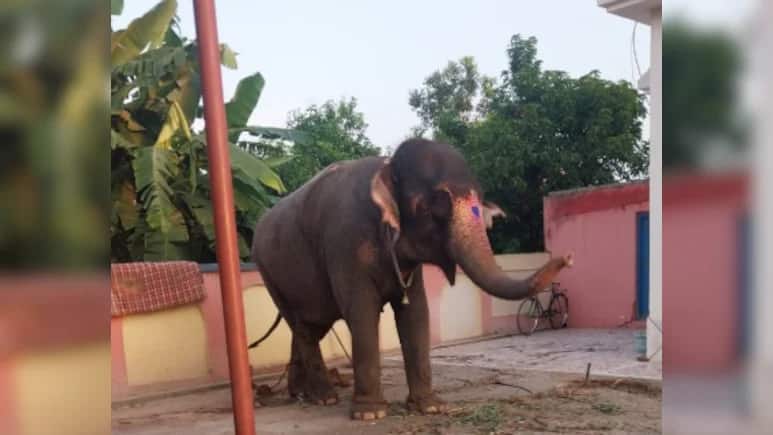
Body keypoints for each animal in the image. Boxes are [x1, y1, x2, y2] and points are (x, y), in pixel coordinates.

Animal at [249, 138, 572, 420]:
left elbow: (416, 312)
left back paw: (301, 394)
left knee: (309, 326)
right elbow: (362, 312)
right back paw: (324, 398)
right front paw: (370, 414)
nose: (567, 258)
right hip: (270, 273)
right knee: (304, 328)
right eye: (430, 209)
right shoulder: (345, 244)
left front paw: (430, 407)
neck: (387, 166)